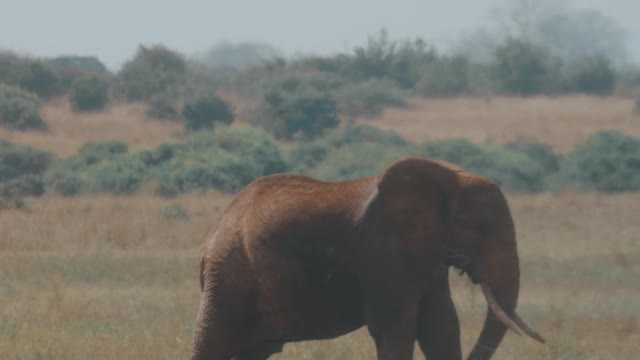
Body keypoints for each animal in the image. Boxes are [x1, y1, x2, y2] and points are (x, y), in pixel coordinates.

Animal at [191, 158, 544, 360]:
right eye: (481, 229)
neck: (448, 176)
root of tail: (212, 236)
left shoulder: (427, 252)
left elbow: (441, 326)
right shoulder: (384, 248)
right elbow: (395, 329)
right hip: (229, 277)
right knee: (212, 344)